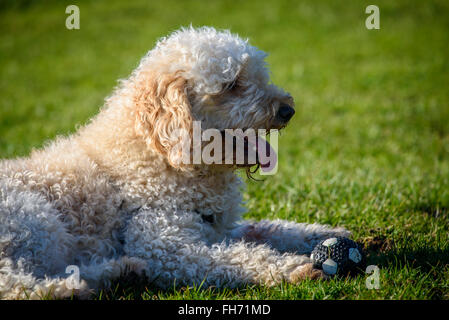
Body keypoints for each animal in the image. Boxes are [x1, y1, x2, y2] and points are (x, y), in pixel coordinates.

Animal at [0, 26, 348, 298]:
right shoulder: (164, 246)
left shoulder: (218, 229)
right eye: (232, 84)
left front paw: (321, 235)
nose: (287, 110)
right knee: (17, 286)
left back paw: (117, 272)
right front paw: (293, 267)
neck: (161, 155)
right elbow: (238, 258)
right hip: (33, 219)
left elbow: (268, 229)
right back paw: (79, 287)